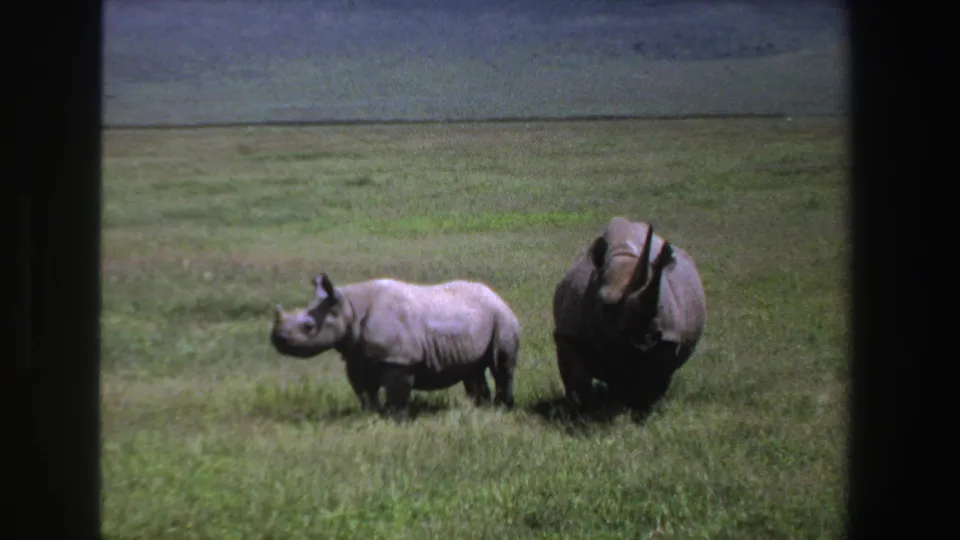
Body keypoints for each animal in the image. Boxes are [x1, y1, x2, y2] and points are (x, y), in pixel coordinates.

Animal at [270, 273, 521, 420]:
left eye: (308, 327)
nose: (276, 338)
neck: (349, 306)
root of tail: (497, 296)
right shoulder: (356, 356)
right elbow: (364, 391)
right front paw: (371, 416)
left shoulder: (399, 359)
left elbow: (397, 393)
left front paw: (396, 420)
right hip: (476, 320)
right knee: (473, 370)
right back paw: (481, 409)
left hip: (502, 317)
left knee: (501, 366)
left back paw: (502, 409)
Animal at [552, 217, 707, 412]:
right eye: (608, 307)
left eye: (659, 306)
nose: (647, 337)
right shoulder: (570, 332)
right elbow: (577, 379)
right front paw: (581, 410)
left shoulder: (668, 337)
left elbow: (655, 377)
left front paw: (644, 410)